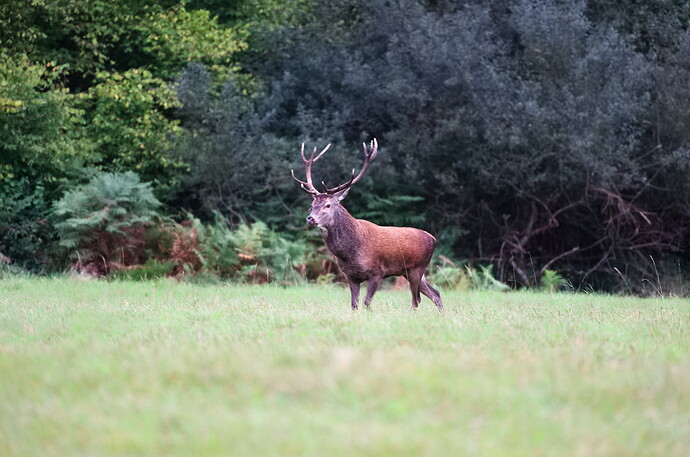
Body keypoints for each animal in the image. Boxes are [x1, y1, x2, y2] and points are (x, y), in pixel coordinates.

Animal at [292, 139, 444, 311]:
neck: (349, 252)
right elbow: (354, 305)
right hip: (410, 271)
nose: (310, 219)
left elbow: (366, 303)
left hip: (417, 268)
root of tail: (433, 239)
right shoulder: (350, 276)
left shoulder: (377, 272)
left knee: (416, 299)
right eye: (312, 205)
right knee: (435, 293)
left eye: (328, 205)